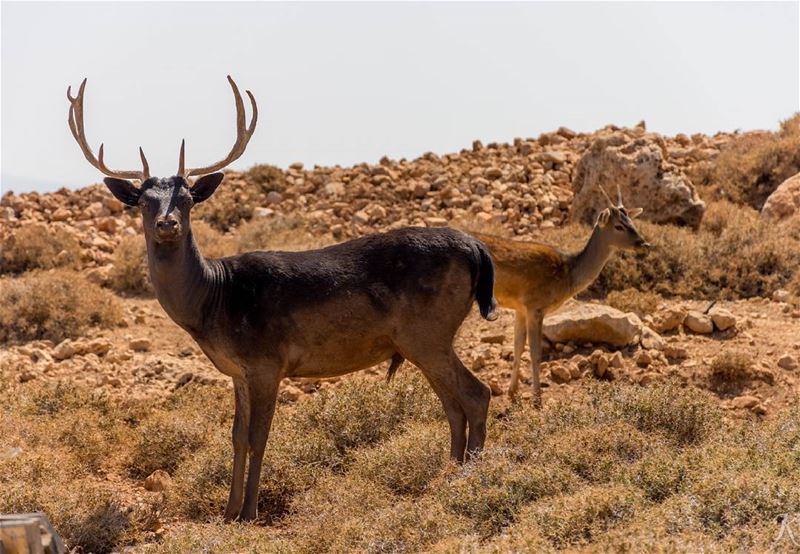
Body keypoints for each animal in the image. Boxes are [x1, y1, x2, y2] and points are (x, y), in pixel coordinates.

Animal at [69, 75, 496, 520]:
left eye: (187, 200)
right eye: (143, 202)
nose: (167, 223)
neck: (214, 300)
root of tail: (476, 248)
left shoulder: (267, 361)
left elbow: (259, 435)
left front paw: (250, 512)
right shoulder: (238, 371)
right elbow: (237, 435)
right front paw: (228, 511)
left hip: (428, 332)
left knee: (476, 394)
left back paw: (466, 479)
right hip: (424, 340)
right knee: (453, 404)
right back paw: (447, 476)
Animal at [476, 189, 648, 406]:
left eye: (632, 222)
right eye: (619, 226)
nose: (644, 244)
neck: (568, 276)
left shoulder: (521, 308)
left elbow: (518, 347)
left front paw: (513, 393)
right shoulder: (535, 306)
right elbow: (535, 353)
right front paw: (537, 400)